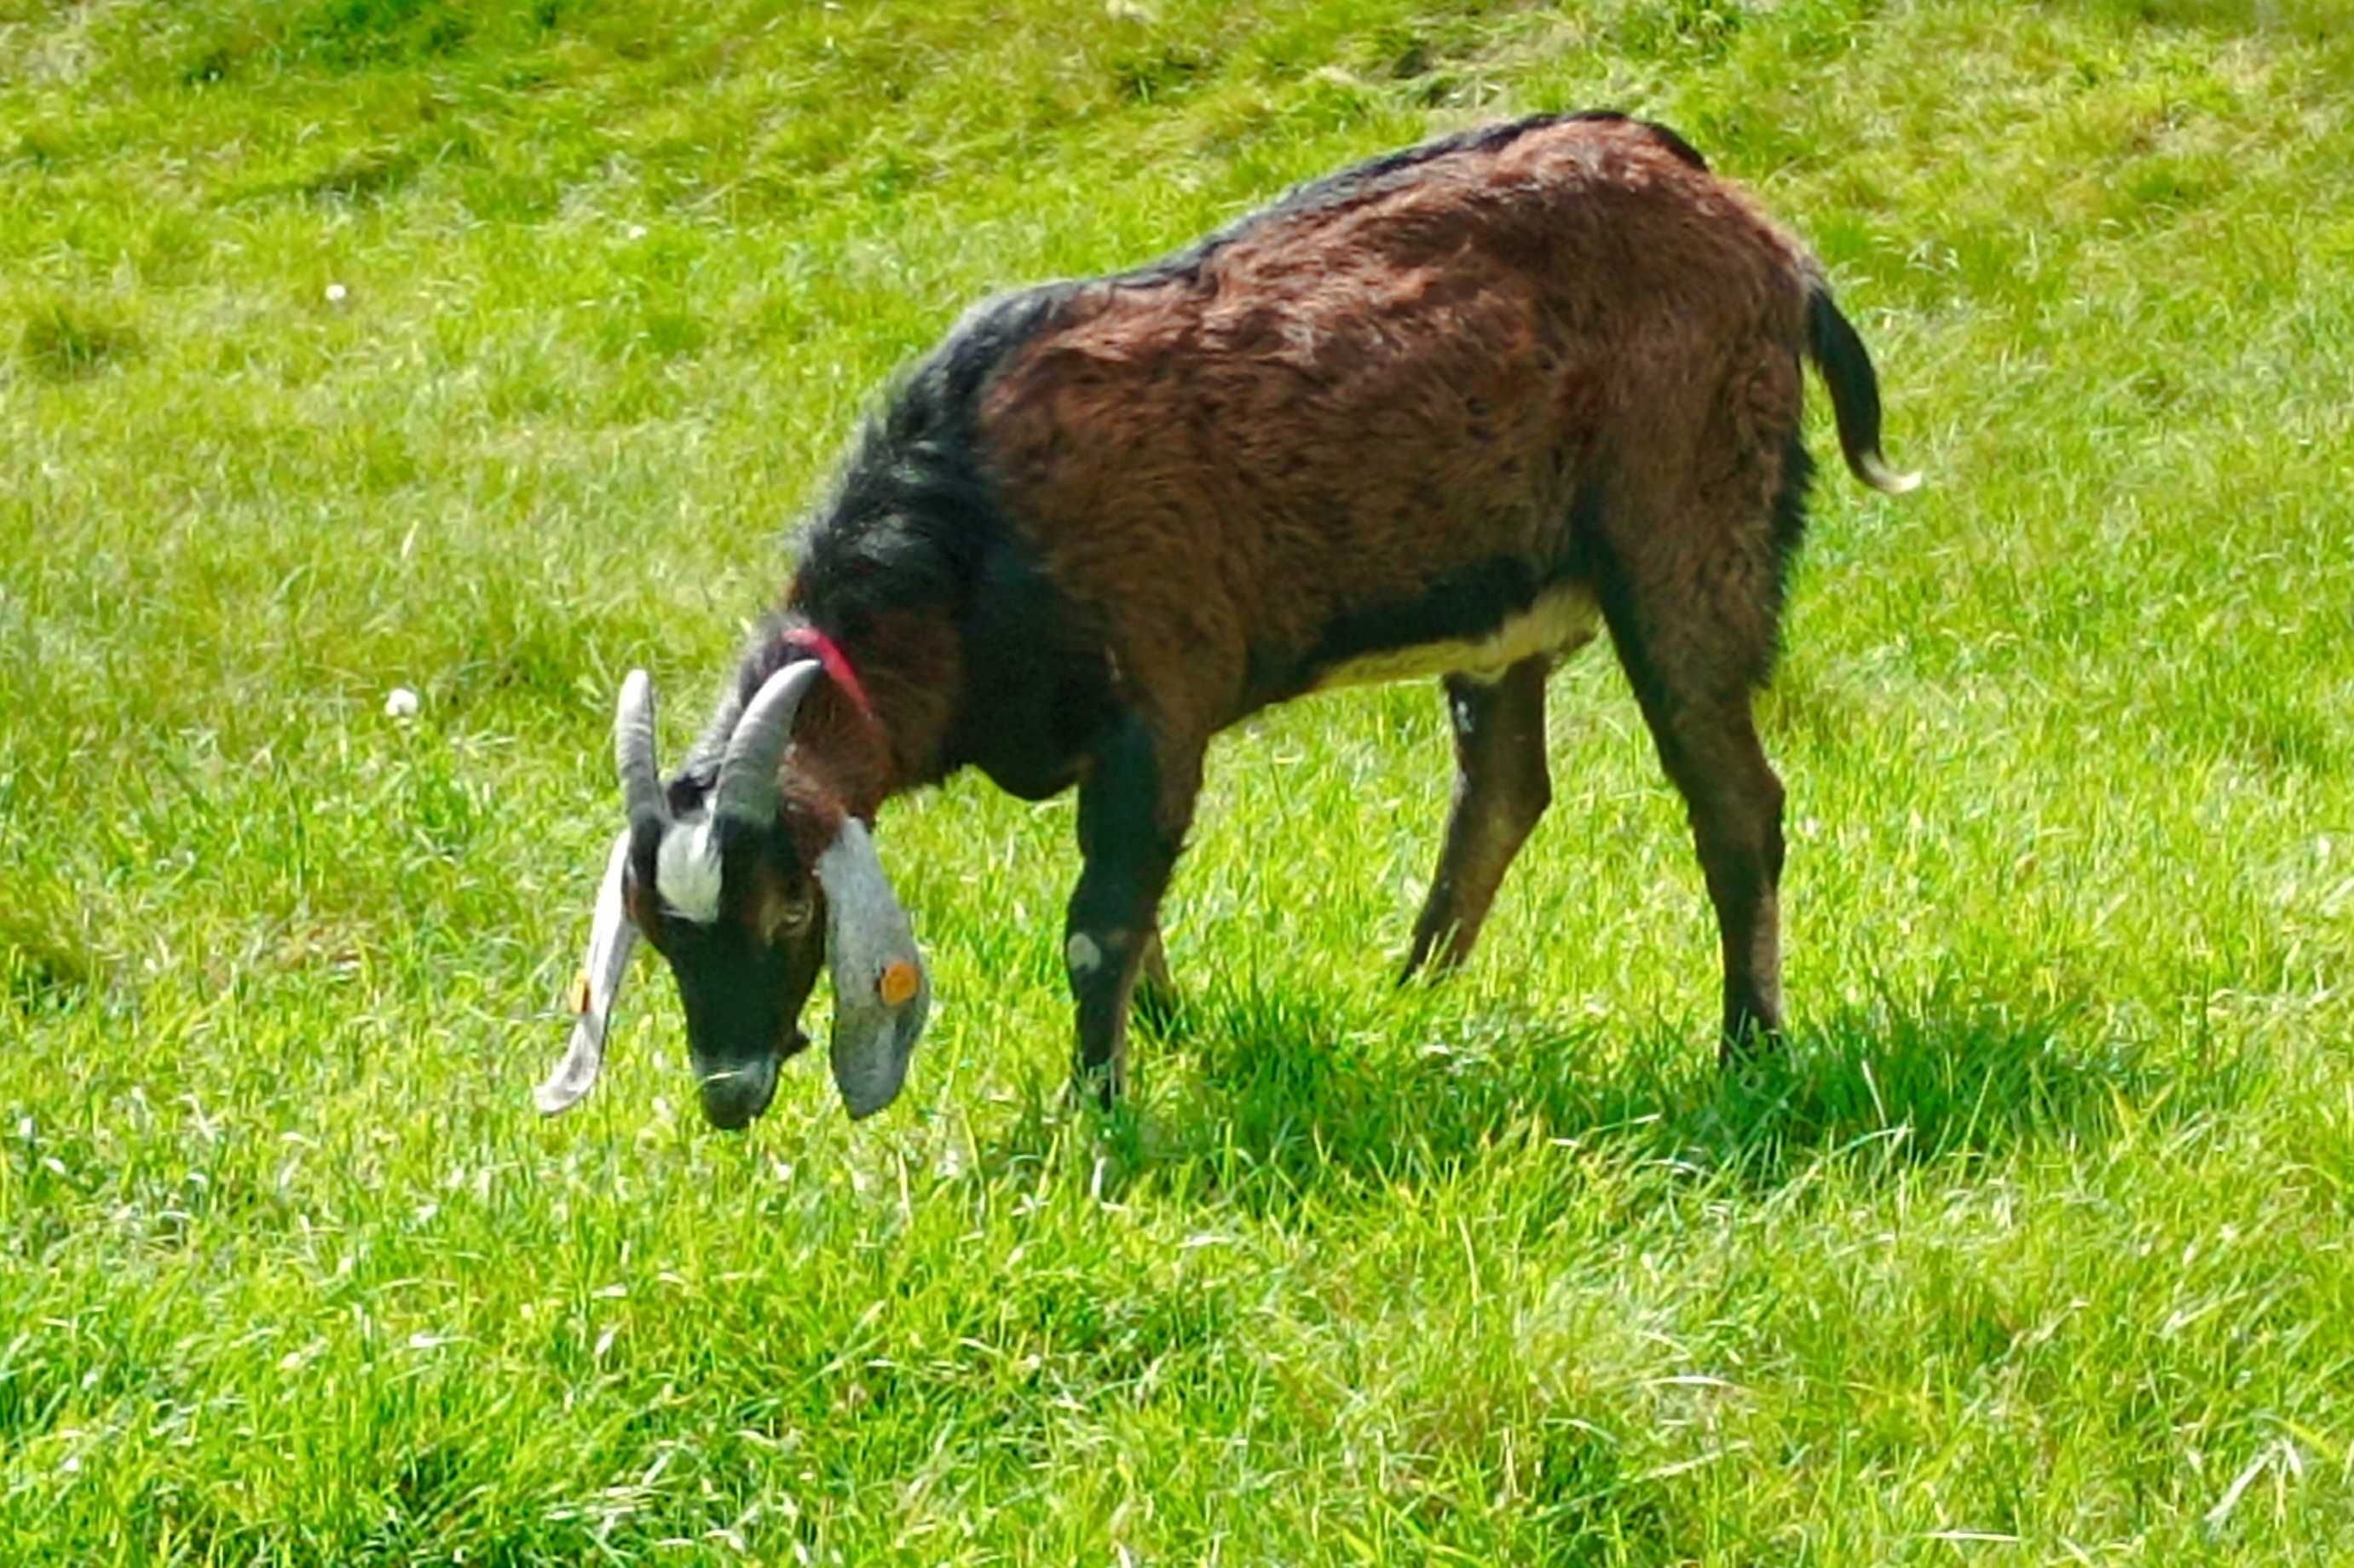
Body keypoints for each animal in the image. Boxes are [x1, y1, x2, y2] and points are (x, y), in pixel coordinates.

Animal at [541, 116, 1920, 1130]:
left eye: (788, 907)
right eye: (656, 929)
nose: (729, 1095)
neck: (968, 524)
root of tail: (1764, 239)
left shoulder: (1158, 696)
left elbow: (1097, 922)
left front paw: (1096, 1110)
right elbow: (1136, 908)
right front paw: (1169, 1037)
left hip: (1686, 526)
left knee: (1733, 799)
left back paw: (1745, 1049)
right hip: (1510, 608)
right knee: (1504, 788)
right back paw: (1411, 1000)